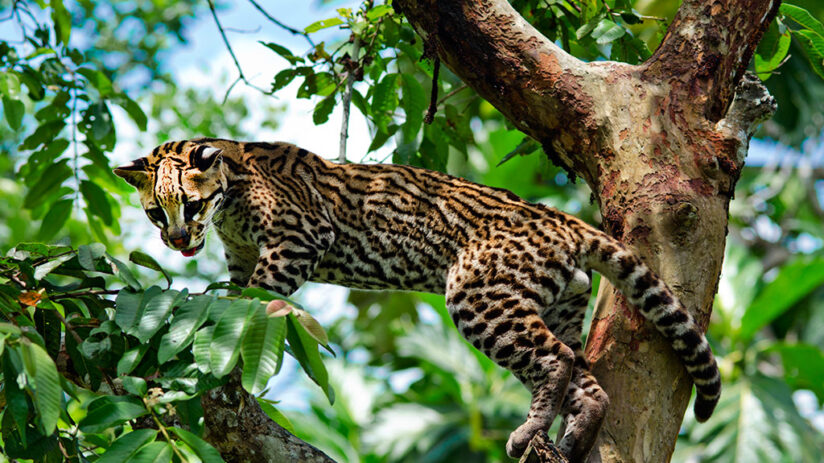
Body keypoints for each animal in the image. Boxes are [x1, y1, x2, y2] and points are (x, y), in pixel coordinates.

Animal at [112, 138, 716, 460]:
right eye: (155, 212)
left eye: (191, 206)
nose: (177, 240)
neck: (230, 200)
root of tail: (562, 218)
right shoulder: (240, 255)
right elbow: (235, 292)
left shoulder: (298, 237)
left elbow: (258, 296)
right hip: (556, 305)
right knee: (587, 379)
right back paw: (571, 438)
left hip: (478, 296)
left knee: (556, 358)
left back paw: (530, 430)